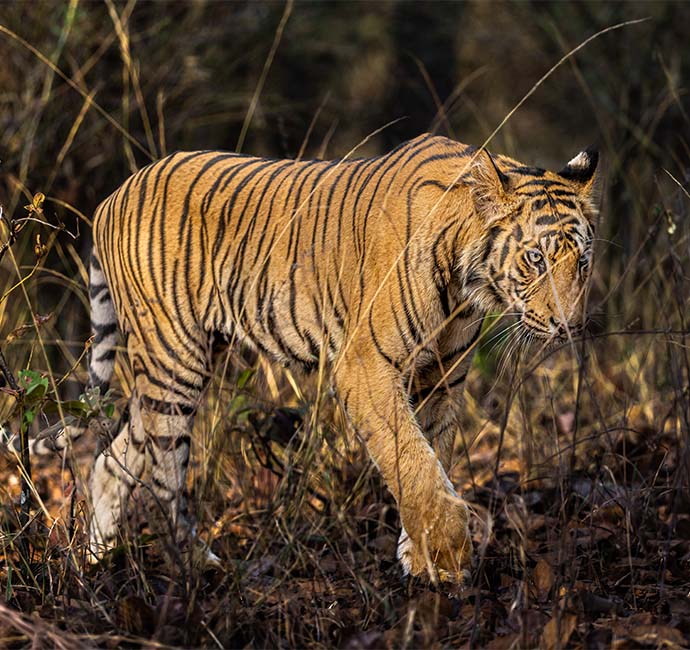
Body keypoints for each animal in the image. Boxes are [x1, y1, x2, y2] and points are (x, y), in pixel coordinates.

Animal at [79, 134, 596, 580]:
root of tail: (113, 195)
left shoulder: (440, 376)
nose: (569, 326)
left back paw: (94, 563)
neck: (464, 280)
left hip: (175, 366)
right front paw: (449, 553)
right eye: (535, 258)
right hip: (173, 359)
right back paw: (196, 566)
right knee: (164, 479)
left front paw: (420, 558)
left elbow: (431, 455)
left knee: (111, 460)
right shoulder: (365, 368)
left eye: (583, 262)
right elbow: (413, 461)